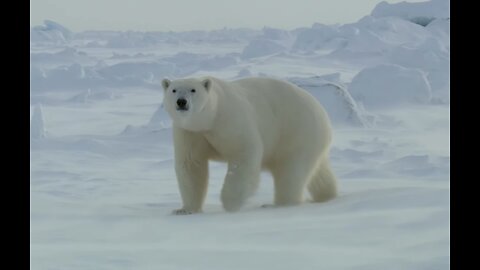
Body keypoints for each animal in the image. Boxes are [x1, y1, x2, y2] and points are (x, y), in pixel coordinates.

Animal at [162, 77, 338, 214]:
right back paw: (327, 195)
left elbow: (243, 155)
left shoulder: (230, 120)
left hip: (296, 132)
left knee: (291, 171)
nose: (181, 102)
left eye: (193, 90)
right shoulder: (190, 132)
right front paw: (185, 209)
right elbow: (192, 164)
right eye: (173, 90)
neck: (210, 119)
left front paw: (230, 203)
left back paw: (278, 204)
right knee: (319, 172)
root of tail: (323, 114)